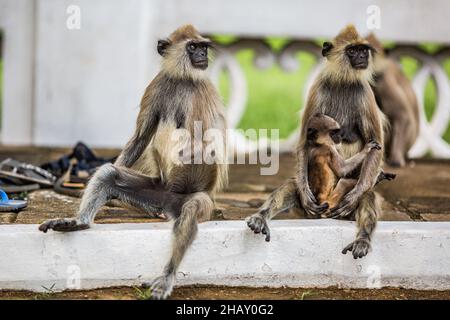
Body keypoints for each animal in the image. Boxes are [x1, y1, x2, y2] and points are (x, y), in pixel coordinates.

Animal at [38, 25, 227, 300]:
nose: (202, 55)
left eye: (203, 46)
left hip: (198, 197)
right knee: (109, 173)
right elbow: (141, 136)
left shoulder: (200, 91)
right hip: (157, 190)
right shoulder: (158, 84)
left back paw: (167, 276)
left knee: (191, 210)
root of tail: (170, 201)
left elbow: (205, 146)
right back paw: (80, 222)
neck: (182, 79)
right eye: (193, 47)